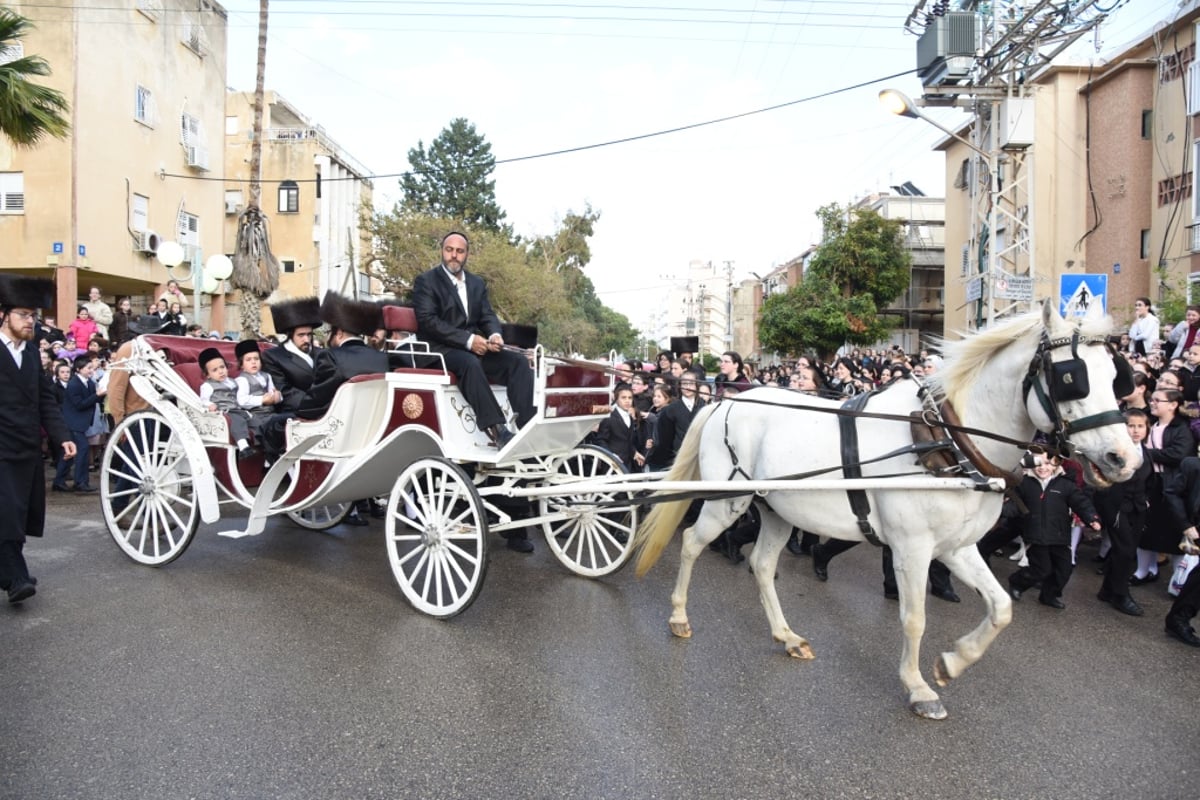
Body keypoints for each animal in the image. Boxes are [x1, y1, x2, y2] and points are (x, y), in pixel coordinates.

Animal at [633, 304, 1137, 719]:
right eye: (1071, 377)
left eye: (1115, 376)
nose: (1124, 459)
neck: (944, 439)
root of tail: (725, 402)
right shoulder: (912, 548)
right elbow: (914, 618)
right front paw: (918, 687)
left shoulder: (957, 547)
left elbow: (1000, 609)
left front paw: (953, 662)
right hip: (729, 498)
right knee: (693, 543)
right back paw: (679, 617)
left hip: (777, 508)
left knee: (761, 564)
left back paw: (786, 635)